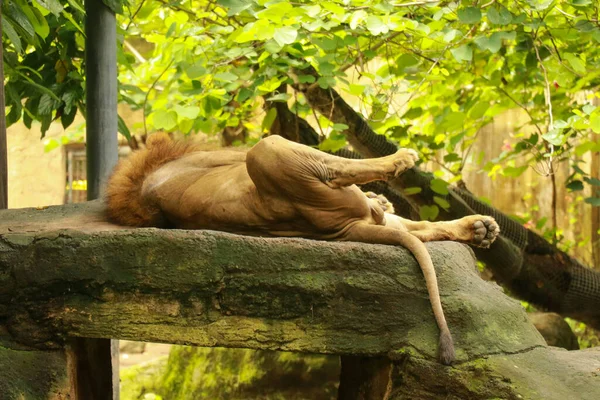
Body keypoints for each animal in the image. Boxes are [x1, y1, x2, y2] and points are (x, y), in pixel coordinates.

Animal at [105, 133, 500, 364]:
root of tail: (341, 229)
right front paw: (385, 192)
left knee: (416, 226)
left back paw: (480, 228)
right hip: (268, 148)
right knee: (341, 169)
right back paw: (400, 160)